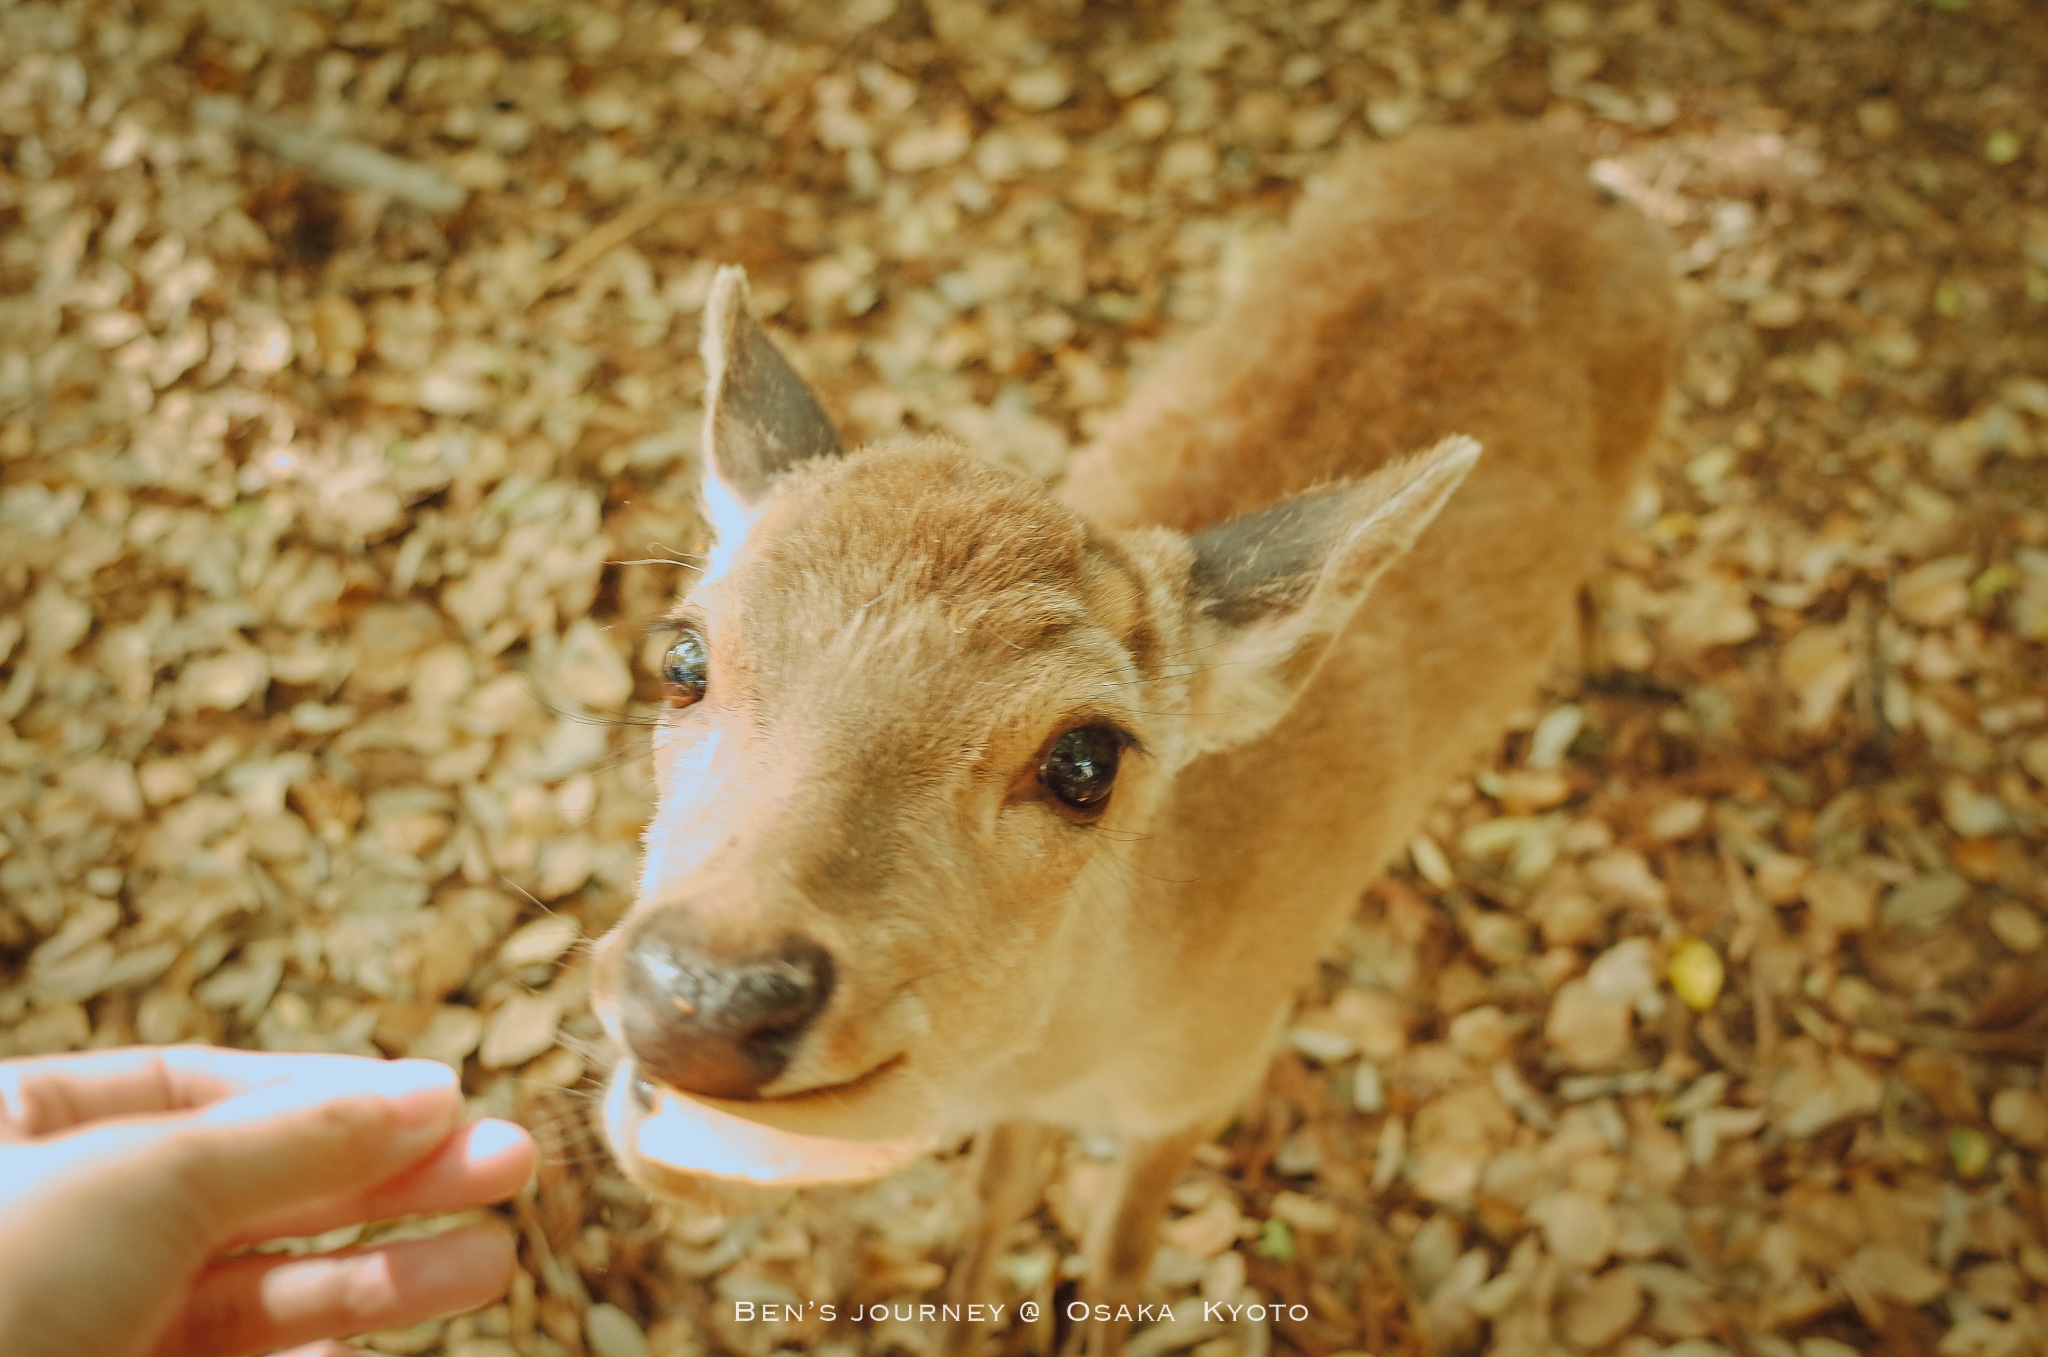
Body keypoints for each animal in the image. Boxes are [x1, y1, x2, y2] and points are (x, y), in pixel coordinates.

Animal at [585, 122, 1671, 1350]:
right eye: (681, 657)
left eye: (1084, 760)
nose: (698, 997)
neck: (1097, 1043)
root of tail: (1583, 164)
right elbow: (996, 1193)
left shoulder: (1216, 1071)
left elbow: (1120, 1253)